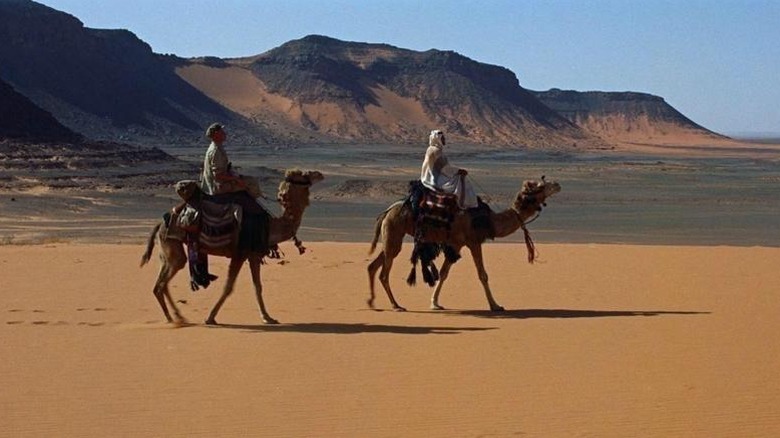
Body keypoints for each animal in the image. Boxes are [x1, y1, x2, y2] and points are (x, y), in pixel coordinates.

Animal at [140, 169, 322, 324]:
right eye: (304, 175)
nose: (319, 174)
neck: (270, 225)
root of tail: (159, 223)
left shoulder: (253, 254)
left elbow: (258, 286)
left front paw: (268, 317)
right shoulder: (239, 253)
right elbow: (228, 287)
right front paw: (210, 317)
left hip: (166, 249)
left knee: (161, 284)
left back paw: (176, 317)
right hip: (172, 244)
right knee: (162, 283)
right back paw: (175, 318)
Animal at [368, 178, 560, 312]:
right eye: (540, 185)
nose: (557, 185)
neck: (489, 221)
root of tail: (386, 212)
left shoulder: (456, 244)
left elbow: (444, 273)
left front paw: (435, 303)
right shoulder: (473, 241)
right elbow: (483, 275)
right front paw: (495, 305)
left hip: (391, 236)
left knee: (373, 265)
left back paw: (372, 302)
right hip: (394, 231)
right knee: (384, 273)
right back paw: (396, 305)